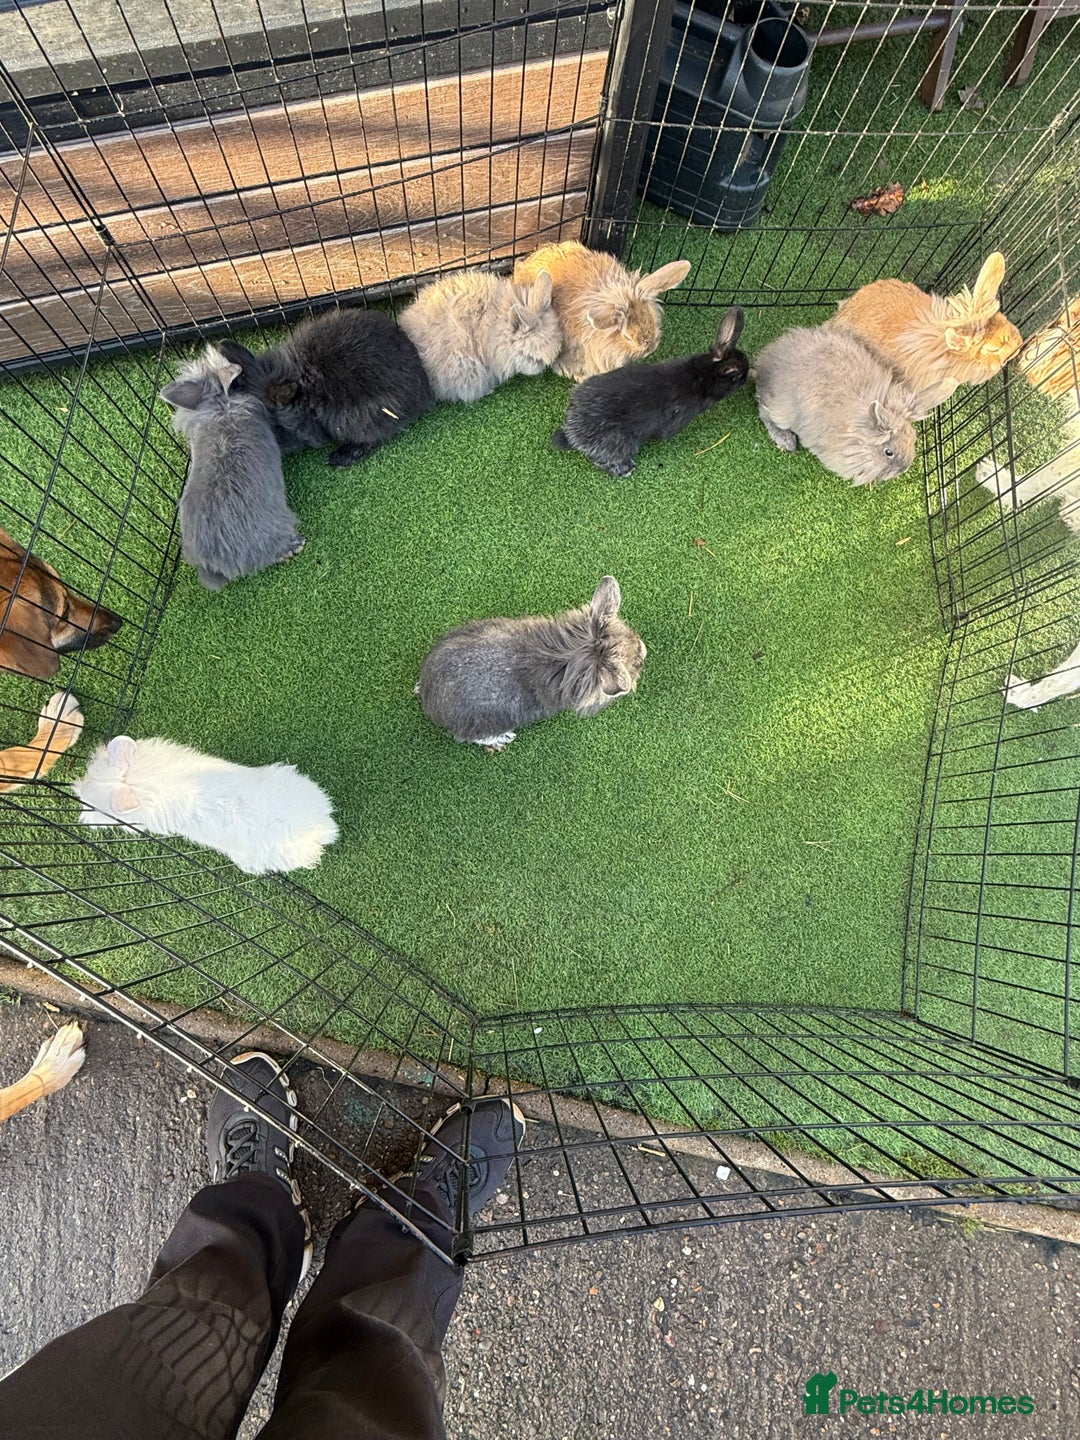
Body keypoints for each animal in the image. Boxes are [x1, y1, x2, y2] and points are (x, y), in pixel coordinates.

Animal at [752, 324, 925, 485]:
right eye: (888, 452)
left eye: (913, 439)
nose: (904, 468)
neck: (857, 431)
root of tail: (765, 361)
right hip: (781, 411)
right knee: (764, 412)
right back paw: (787, 441)